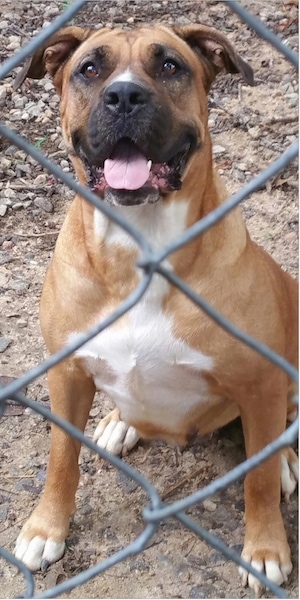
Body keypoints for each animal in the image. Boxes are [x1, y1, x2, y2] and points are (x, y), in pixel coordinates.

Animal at [13, 22, 298, 592]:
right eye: (90, 69)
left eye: (170, 66)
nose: (124, 96)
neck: (139, 251)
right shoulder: (66, 373)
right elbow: (60, 457)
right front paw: (45, 528)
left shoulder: (259, 380)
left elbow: (255, 479)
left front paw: (265, 549)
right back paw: (119, 423)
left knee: (279, 429)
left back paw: (283, 463)